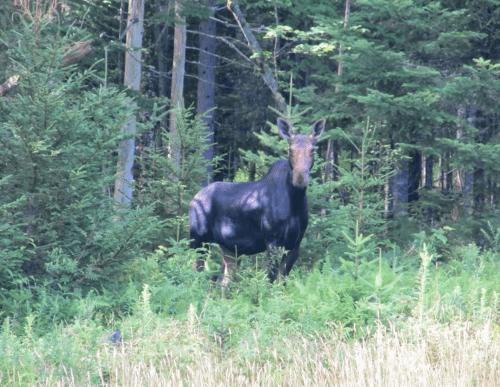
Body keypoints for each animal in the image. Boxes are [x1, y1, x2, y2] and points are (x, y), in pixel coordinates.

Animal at [189, 117, 326, 284]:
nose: (300, 177)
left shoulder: (294, 245)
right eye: (289, 149)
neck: (295, 203)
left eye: (313, 150)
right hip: (198, 240)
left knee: (221, 282)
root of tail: (194, 198)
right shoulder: (273, 242)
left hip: (229, 249)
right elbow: (270, 281)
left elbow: (282, 283)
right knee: (195, 274)